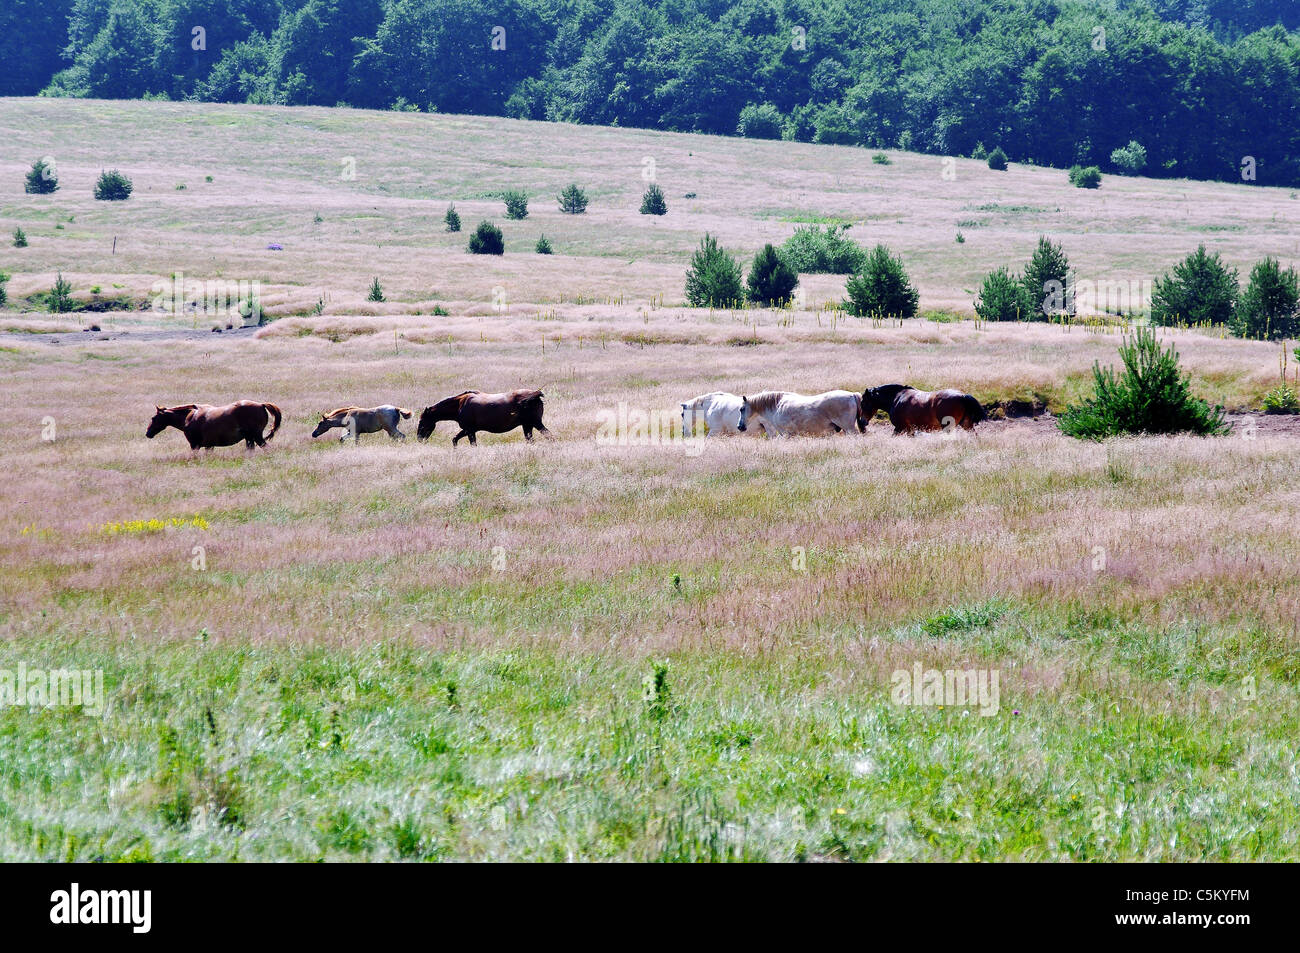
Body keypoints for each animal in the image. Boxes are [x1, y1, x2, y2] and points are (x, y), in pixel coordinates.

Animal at [146, 400, 282, 450]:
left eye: (153, 418)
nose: (148, 433)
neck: (189, 417)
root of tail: (261, 404)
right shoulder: (209, 446)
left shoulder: (194, 445)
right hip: (250, 438)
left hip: (256, 436)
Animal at [416, 390, 548, 446]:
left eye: (422, 422)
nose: (419, 439)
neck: (460, 404)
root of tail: (536, 395)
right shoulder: (469, 430)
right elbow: (454, 439)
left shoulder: (469, 430)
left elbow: (472, 444)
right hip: (527, 426)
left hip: (535, 423)